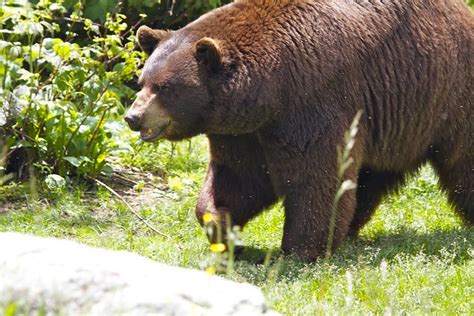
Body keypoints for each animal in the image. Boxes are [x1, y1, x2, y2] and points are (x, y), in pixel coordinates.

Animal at [126, 0, 474, 260]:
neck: (269, 89)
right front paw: (220, 224)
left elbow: (316, 176)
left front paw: (300, 250)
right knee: (371, 177)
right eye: (143, 82)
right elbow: (239, 177)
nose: (133, 117)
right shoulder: (243, 133)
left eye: (165, 88)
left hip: (447, 94)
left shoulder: (313, 100)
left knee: (462, 164)